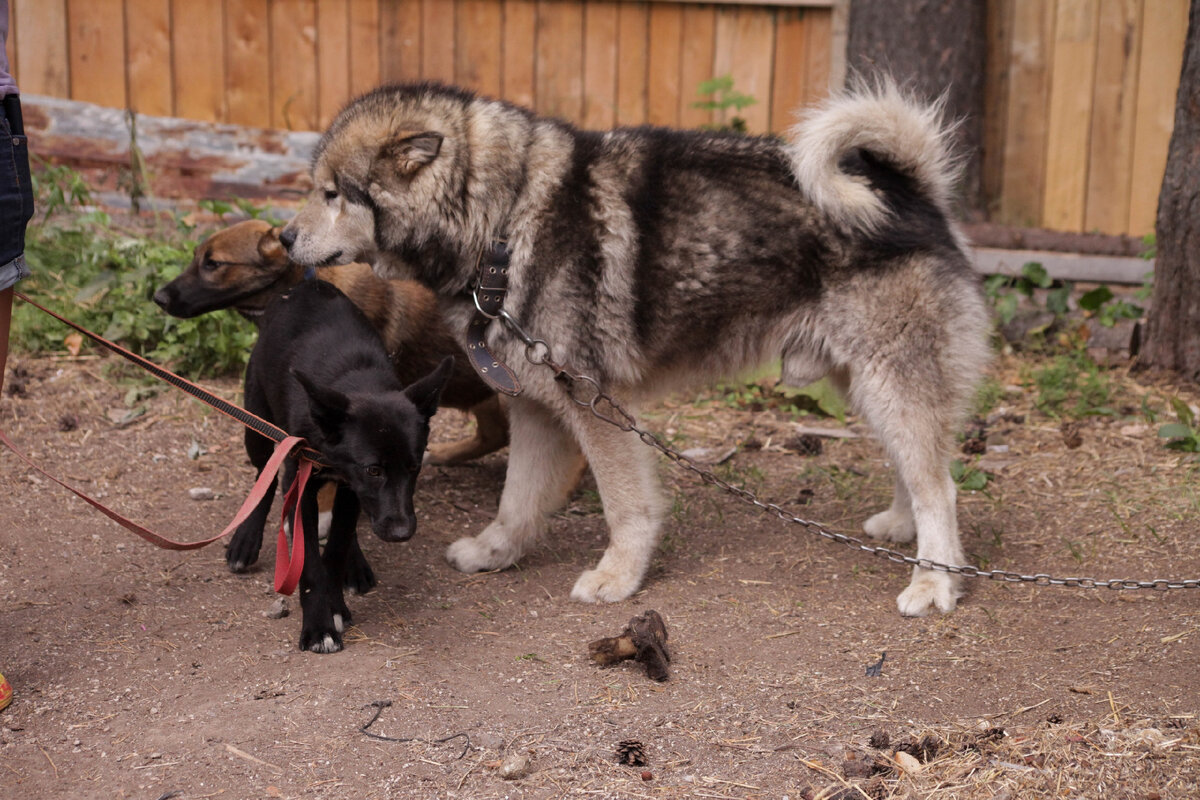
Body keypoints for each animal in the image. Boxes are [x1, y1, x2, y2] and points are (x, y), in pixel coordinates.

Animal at [238, 278, 451, 652]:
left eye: (414, 467)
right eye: (374, 470)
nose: (402, 533)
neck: (356, 380)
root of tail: (306, 283)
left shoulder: (354, 489)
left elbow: (336, 547)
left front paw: (335, 603)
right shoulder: (305, 484)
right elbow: (308, 562)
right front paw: (318, 627)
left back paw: (356, 564)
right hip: (258, 422)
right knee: (264, 476)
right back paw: (246, 538)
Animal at [283, 81, 993, 618]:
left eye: (333, 193)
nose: (284, 238)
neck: (503, 220)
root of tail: (913, 191)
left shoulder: (595, 407)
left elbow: (627, 507)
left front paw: (618, 577)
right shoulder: (536, 408)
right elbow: (517, 501)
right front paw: (495, 553)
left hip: (889, 382)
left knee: (941, 488)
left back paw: (933, 580)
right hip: (867, 385)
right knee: (919, 469)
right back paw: (902, 527)